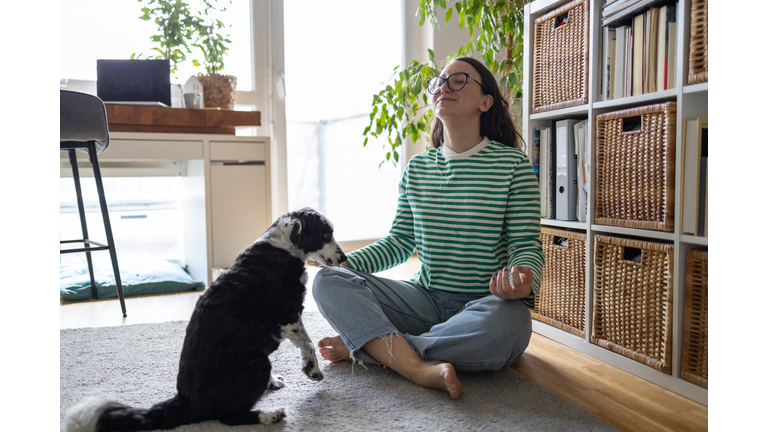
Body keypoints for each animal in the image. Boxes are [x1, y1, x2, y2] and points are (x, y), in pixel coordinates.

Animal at [66, 208, 348, 430]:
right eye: (326, 234)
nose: (344, 257)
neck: (282, 247)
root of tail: (184, 402)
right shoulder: (288, 314)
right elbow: (307, 343)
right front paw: (312, 370)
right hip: (257, 362)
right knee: (229, 417)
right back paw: (270, 416)